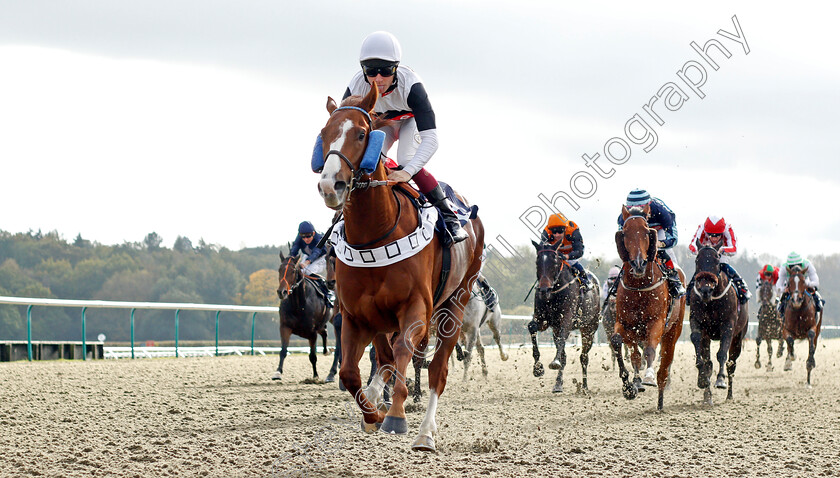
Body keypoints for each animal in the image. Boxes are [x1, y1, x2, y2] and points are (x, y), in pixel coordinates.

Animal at [314, 85, 486, 452]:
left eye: (361, 134)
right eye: (323, 134)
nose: (330, 185)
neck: (376, 234)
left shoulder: (416, 309)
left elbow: (404, 353)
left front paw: (395, 415)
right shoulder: (356, 315)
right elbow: (352, 371)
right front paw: (372, 415)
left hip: (456, 303)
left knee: (438, 370)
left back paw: (425, 432)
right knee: (387, 359)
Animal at [528, 239, 600, 392]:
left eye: (555, 261)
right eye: (537, 261)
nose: (544, 290)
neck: (553, 294)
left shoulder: (566, 321)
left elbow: (562, 342)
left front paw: (554, 362)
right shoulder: (543, 321)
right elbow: (532, 327)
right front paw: (538, 368)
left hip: (589, 328)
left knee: (584, 357)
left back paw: (585, 386)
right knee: (565, 356)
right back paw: (558, 384)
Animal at [612, 205, 684, 410]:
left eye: (646, 232)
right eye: (625, 232)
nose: (638, 264)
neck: (639, 287)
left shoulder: (656, 322)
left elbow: (651, 350)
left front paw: (649, 377)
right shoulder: (625, 324)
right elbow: (620, 344)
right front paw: (630, 386)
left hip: (674, 329)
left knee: (666, 359)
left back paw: (660, 395)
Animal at [688, 243, 748, 404]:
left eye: (716, 260)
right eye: (697, 260)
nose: (705, 290)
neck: (712, 301)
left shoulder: (728, 325)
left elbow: (722, 354)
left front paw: (720, 380)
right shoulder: (697, 322)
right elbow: (697, 341)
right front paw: (702, 379)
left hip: (738, 337)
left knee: (731, 364)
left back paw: (729, 395)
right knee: (709, 362)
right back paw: (707, 397)